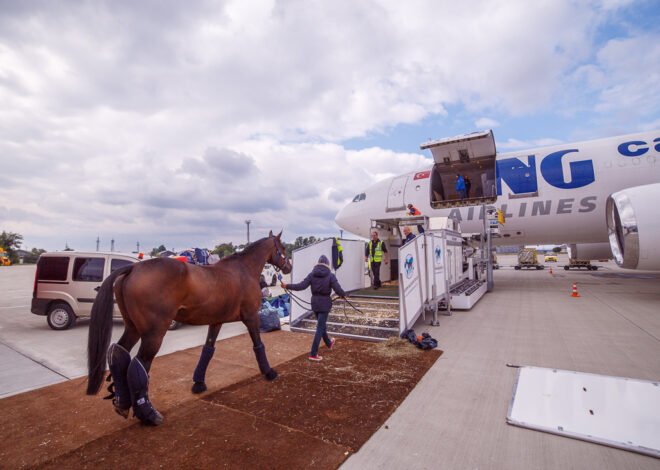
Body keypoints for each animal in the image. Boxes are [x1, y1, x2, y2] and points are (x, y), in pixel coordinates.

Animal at [86, 231, 292, 426]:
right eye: (282, 247)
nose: (289, 267)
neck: (244, 269)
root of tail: (133, 268)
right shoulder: (251, 317)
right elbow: (258, 344)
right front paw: (269, 372)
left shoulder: (216, 322)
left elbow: (208, 350)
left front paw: (199, 383)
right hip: (154, 334)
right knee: (140, 364)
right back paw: (149, 414)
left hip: (133, 328)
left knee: (118, 354)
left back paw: (122, 403)